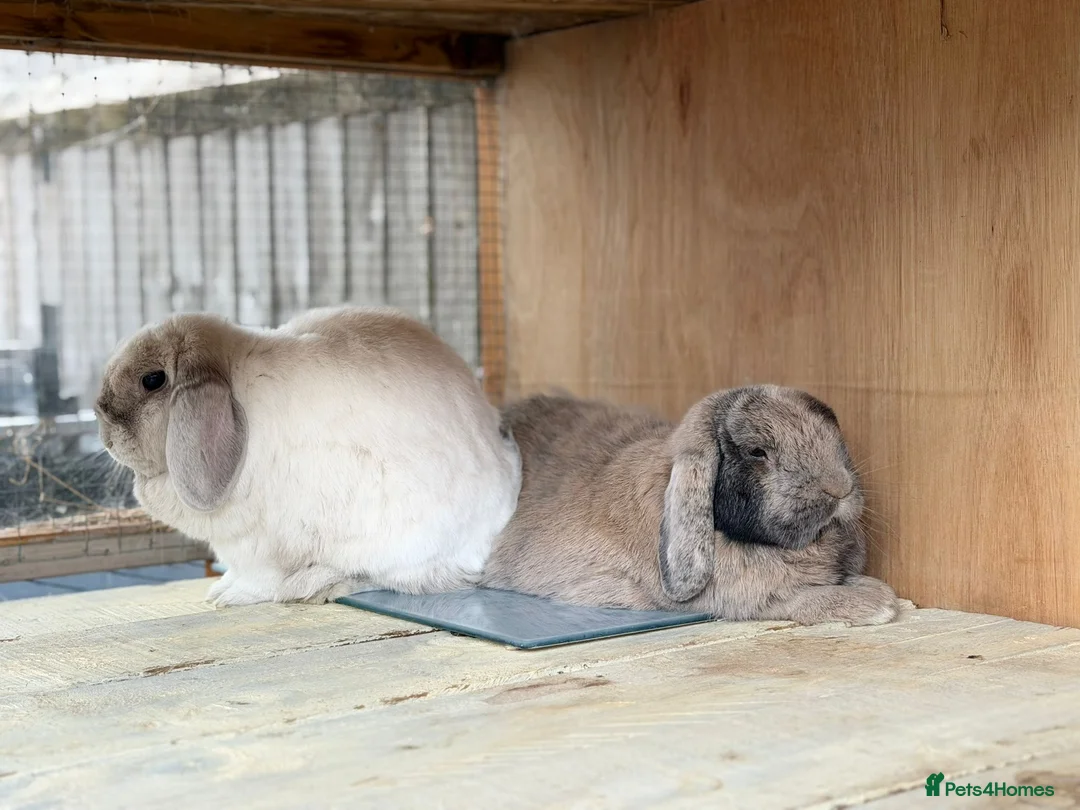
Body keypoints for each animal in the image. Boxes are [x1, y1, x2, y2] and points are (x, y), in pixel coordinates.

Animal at [95, 305, 522, 607]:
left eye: (153, 380)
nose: (103, 429)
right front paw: (219, 589)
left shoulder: (261, 548)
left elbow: (258, 579)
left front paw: (228, 597)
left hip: (399, 543)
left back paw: (315, 584)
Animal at [482, 385, 900, 626]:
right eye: (757, 452)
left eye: (833, 430)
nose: (840, 487)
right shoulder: (744, 598)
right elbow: (796, 599)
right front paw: (877, 604)